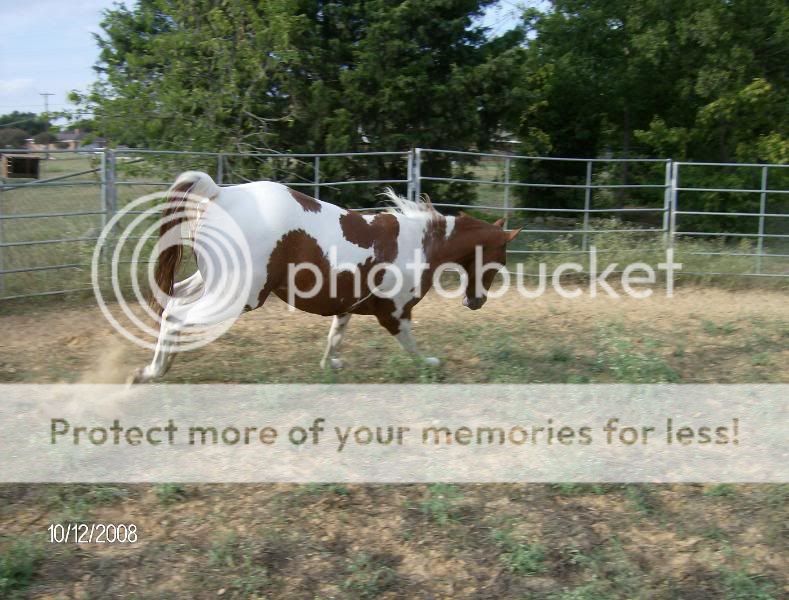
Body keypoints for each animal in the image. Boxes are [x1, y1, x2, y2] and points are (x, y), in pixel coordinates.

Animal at [132, 171, 520, 382]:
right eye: (499, 261)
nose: (476, 302)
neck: (420, 242)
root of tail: (220, 194)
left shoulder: (347, 305)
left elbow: (335, 337)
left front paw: (329, 366)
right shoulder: (395, 313)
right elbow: (410, 345)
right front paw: (431, 365)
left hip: (211, 281)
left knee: (173, 301)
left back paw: (158, 366)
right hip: (239, 295)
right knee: (178, 316)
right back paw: (152, 372)